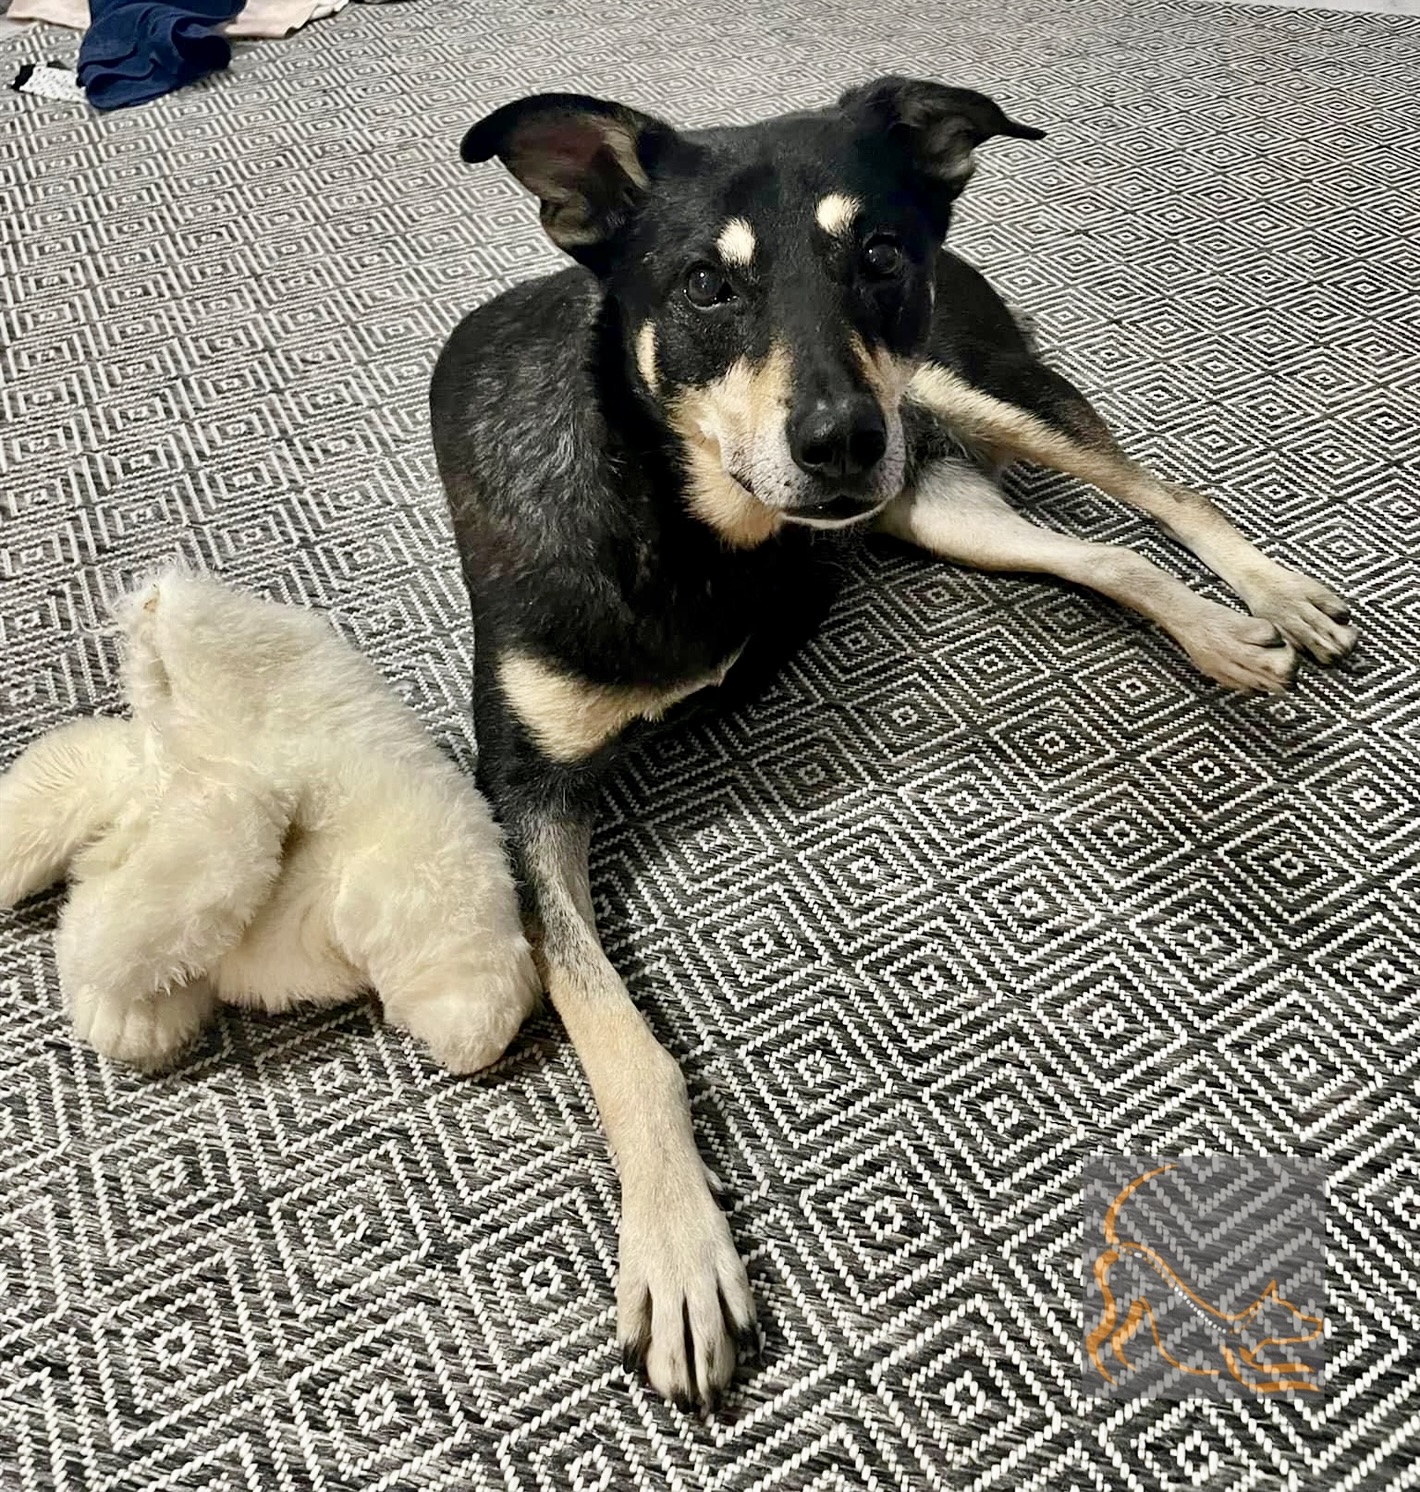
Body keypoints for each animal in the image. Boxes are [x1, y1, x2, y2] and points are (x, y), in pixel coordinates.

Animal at [429, 78, 1357, 1410]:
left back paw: (1269, 593)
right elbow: (619, 1033)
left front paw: (676, 1250)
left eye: (874, 256)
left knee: (1150, 495)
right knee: (1104, 554)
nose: (839, 440)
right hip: (931, 495)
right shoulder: (524, 789)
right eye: (705, 285)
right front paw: (678, 1250)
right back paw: (1220, 633)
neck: (692, 522)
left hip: (955, 395)